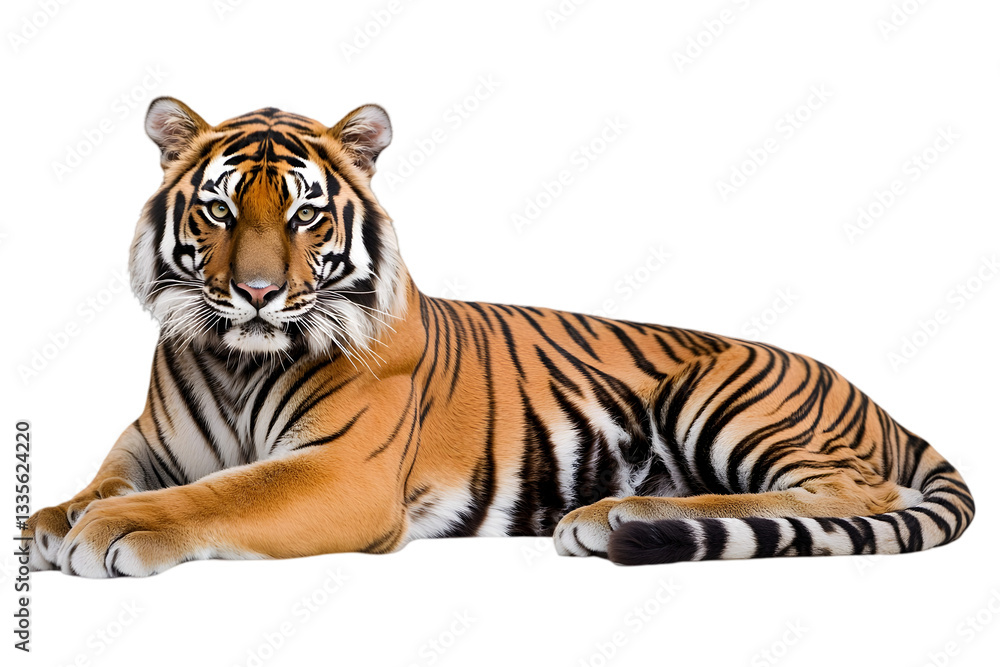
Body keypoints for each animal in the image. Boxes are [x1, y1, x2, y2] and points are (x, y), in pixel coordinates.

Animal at [24, 97, 974, 577]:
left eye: (304, 214)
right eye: (220, 211)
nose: (258, 294)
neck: (236, 357)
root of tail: (875, 400)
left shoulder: (342, 471)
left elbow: (218, 494)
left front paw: (108, 530)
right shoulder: (148, 445)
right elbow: (97, 483)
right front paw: (58, 516)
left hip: (723, 395)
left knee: (851, 494)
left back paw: (617, 515)